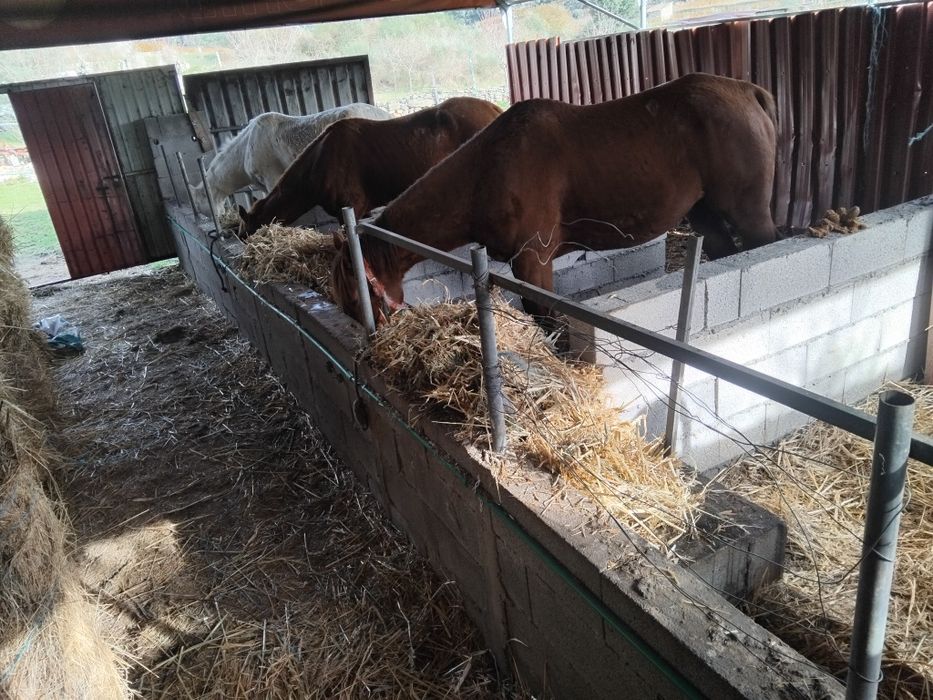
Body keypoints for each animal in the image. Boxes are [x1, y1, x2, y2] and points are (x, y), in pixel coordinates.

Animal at [331, 73, 779, 326]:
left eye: (357, 296)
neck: (488, 171)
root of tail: (748, 90)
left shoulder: (533, 261)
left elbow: (545, 318)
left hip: (749, 212)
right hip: (704, 213)